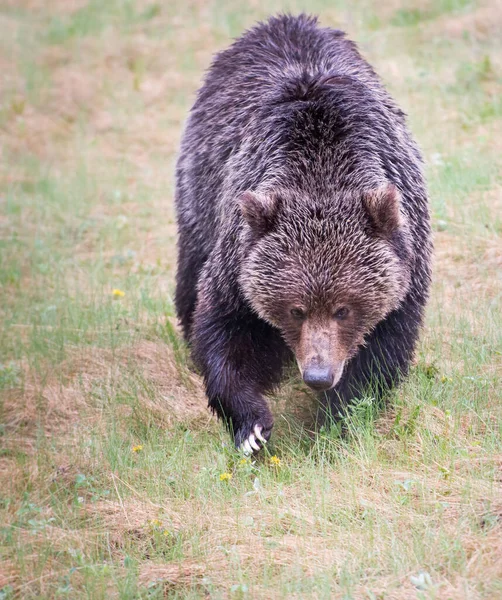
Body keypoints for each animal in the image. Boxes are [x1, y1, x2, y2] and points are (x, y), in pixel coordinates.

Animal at [174, 11, 432, 452]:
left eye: (344, 308)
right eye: (296, 309)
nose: (317, 375)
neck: (321, 171)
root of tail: (282, 20)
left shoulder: (404, 264)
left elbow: (381, 351)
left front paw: (337, 418)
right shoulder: (239, 253)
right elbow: (225, 329)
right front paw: (252, 427)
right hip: (200, 186)